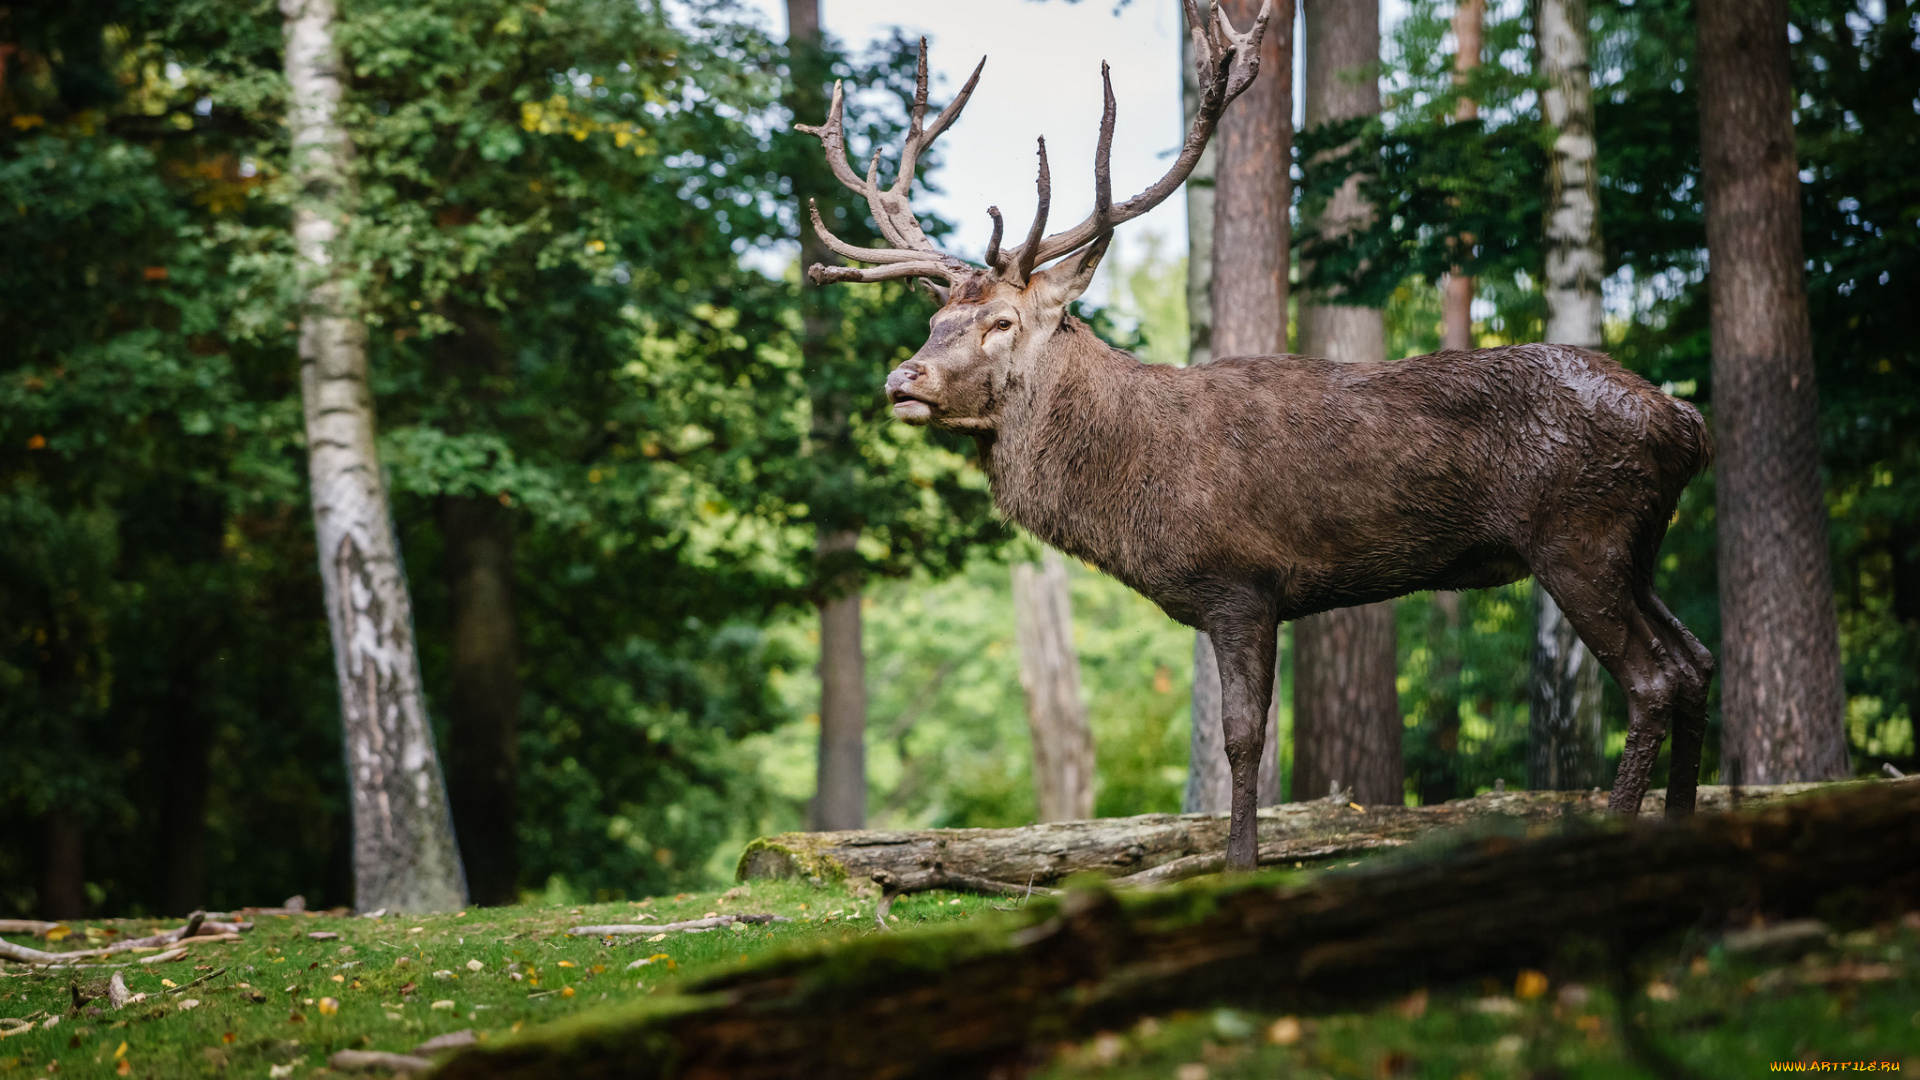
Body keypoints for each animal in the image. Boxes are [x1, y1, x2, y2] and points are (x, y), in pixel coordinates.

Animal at [794, 0, 1712, 868]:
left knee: (1653, 678)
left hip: (1578, 534)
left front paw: (1241, 864)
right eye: (935, 319)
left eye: (1001, 322)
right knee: (1697, 660)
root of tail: (1687, 423)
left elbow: (1245, 740)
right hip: (1634, 546)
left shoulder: (1243, 581)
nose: (902, 380)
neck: (1135, 486)